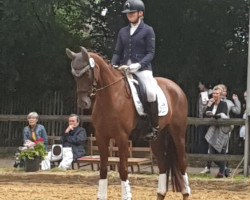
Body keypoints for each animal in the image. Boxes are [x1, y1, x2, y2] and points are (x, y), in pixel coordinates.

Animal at [65, 47, 190, 200]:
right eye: (74, 75)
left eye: (87, 73)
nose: (83, 103)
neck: (110, 97)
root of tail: (176, 87)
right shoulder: (101, 137)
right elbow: (103, 169)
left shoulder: (122, 138)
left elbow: (123, 169)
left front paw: (126, 195)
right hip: (157, 137)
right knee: (162, 166)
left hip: (178, 133)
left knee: (182, 163)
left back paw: (186, 192)